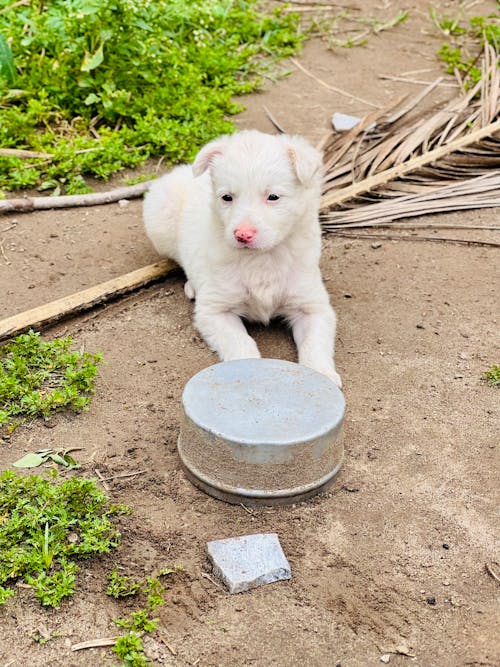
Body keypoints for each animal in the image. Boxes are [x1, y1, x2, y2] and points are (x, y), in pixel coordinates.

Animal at [143, 129, 342, 386]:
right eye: (227, 197)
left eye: (273, 197)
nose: (242, 235)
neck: (262, 258)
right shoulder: (214, 312)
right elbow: (241, 344)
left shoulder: (313, 307)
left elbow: (314, 344)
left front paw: (323, 375)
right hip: (159, 221)